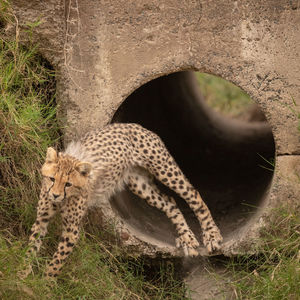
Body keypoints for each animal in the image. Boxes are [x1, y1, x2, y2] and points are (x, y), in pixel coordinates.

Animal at [19, 122, 221, 278]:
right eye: (52, 179)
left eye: (68, 184)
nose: (55, 195)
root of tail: (134, 125)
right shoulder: (42, 218)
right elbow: (31, 247)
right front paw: (23, 275)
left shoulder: (72, 229)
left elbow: (57, 260)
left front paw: (46, 282)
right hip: (139, 184)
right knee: (170, 202)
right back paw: (187, 238)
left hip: (164, 170)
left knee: (193, 195)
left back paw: (212, 236)